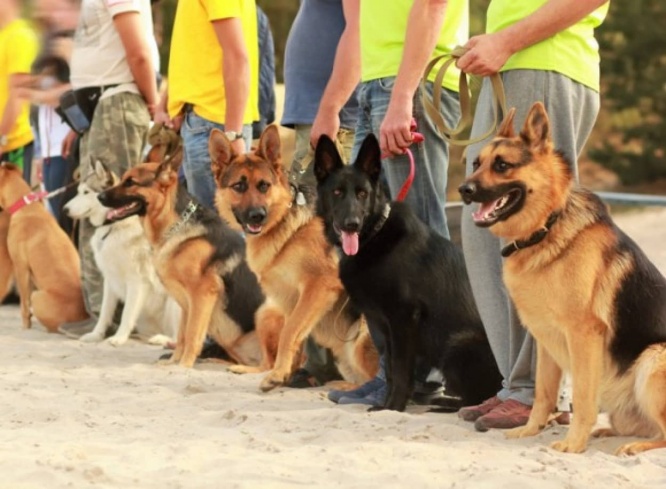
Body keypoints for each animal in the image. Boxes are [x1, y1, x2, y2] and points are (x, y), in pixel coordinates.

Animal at [98, 156, 264, 366]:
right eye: (123, 180)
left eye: (130, 182)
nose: (99, 196)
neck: (176, 225)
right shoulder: (186, 302)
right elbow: (182, 335)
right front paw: (173, 363)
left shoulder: (202, 294)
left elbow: (193, 334)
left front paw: (184, 365)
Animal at [208, 124, 376, 390]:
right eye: (239, 187)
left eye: (264, 186)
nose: (257, 216)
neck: (285, 222)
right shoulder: (290, 298)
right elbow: (293, 334)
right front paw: (285, 374)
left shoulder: (319, 286)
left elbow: (289, 332)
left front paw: (278, 375)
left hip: (361, 335)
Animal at [456, 102, 664, 454]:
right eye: (476, 163)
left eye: (502, 165)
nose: (463, 190)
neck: (546, 227)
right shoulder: (545, 341)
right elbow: (542, 394)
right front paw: (529, 430)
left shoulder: (583, 336)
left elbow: (581, 396)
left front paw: (574, 443)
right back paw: (609, 433)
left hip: (652, 359)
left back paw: (632, 446)